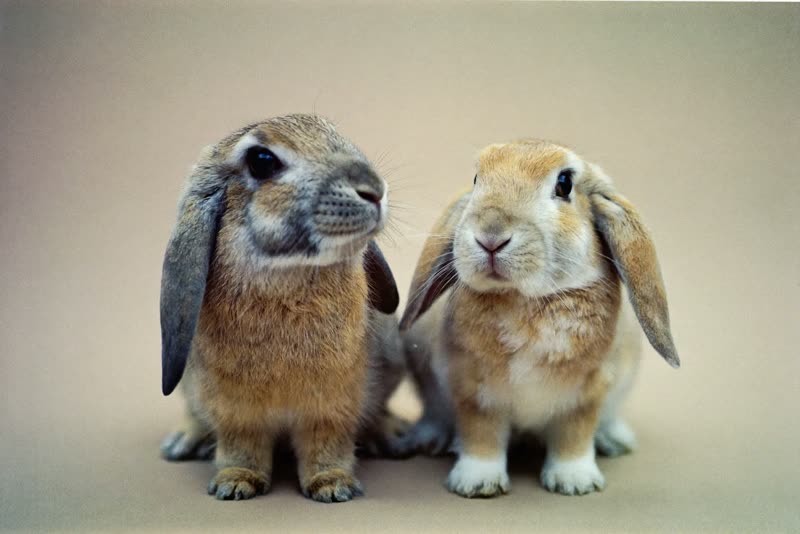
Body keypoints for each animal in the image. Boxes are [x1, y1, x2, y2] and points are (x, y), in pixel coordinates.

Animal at [157, 114, 406, 502]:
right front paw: (235, 483)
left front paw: (333, 486)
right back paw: (182, 443)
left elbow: (327, 446)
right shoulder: (236, 412)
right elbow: (241, 446)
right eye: (262, 161)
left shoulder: (333, 406)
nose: (374, 190)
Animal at [397, 139, 680, 498]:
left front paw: (574, 483)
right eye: (477, 179)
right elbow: (481, 436)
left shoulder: (587, 392)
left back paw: (615, 441)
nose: (490, 236)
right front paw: (477, 484)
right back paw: (427, 440)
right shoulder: (473, 389)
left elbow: (574, 437)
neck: (527, 300)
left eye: (564, 184)